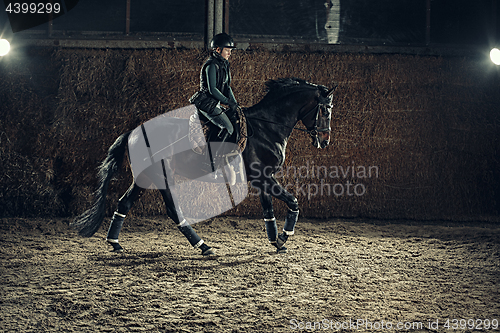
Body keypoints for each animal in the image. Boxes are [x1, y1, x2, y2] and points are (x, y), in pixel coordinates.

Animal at [71, 78, 336, 254]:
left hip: (149, 178)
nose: (324, 140)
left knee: (129, 203)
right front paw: (285, 236)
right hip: (157, 177)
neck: (266, 127)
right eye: (325, 109)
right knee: (168, 210)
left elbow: (268, 209)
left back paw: (116, 243)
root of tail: (133, 133)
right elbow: (293, 201)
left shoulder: (263, 178)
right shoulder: (264, 177)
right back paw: (203, 246)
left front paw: (276, 241)